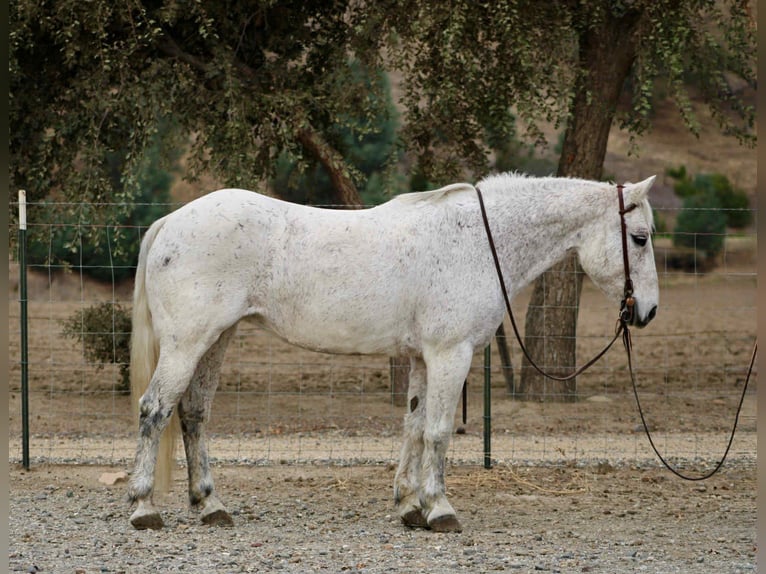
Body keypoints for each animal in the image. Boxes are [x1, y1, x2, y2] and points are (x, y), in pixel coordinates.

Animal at [127, 172, 659, 532]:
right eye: (640, 238)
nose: (647, 311)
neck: (475, 239)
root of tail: (171, 222)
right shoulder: (451, 354)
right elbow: (440, 432)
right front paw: (440, 510)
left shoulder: (424, 357)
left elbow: (414, 427)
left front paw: (409, 505)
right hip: (188, 343)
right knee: (155, 410)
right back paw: (143, 507)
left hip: (216, 341)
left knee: (194, 414)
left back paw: (210, 506)